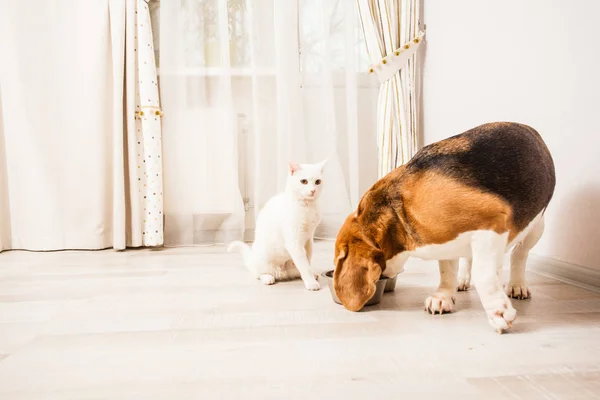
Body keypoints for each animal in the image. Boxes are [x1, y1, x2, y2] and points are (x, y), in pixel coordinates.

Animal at [226, 159, 328, 290]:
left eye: (318, 182)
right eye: (304, 181)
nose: (313, 190)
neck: (307, 206)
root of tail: (283, 273)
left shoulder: (309, 240)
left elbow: (307, 262)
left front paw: (310, 276)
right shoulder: (294, 242)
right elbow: (304, 266)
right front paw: (311, 283)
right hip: (262, 257)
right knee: (258, 274)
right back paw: (268, 278)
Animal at [332, 120, 552, 332]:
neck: (399, 212)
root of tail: (529, 129)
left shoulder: (492, 223)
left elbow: (483, 274)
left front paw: (498, 311)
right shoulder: (446, 239)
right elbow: (447, 271)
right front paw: (443, 296)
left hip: (537, 226)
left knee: (518, 254)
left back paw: (517, 285)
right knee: (472, 258)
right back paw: (463, 280)